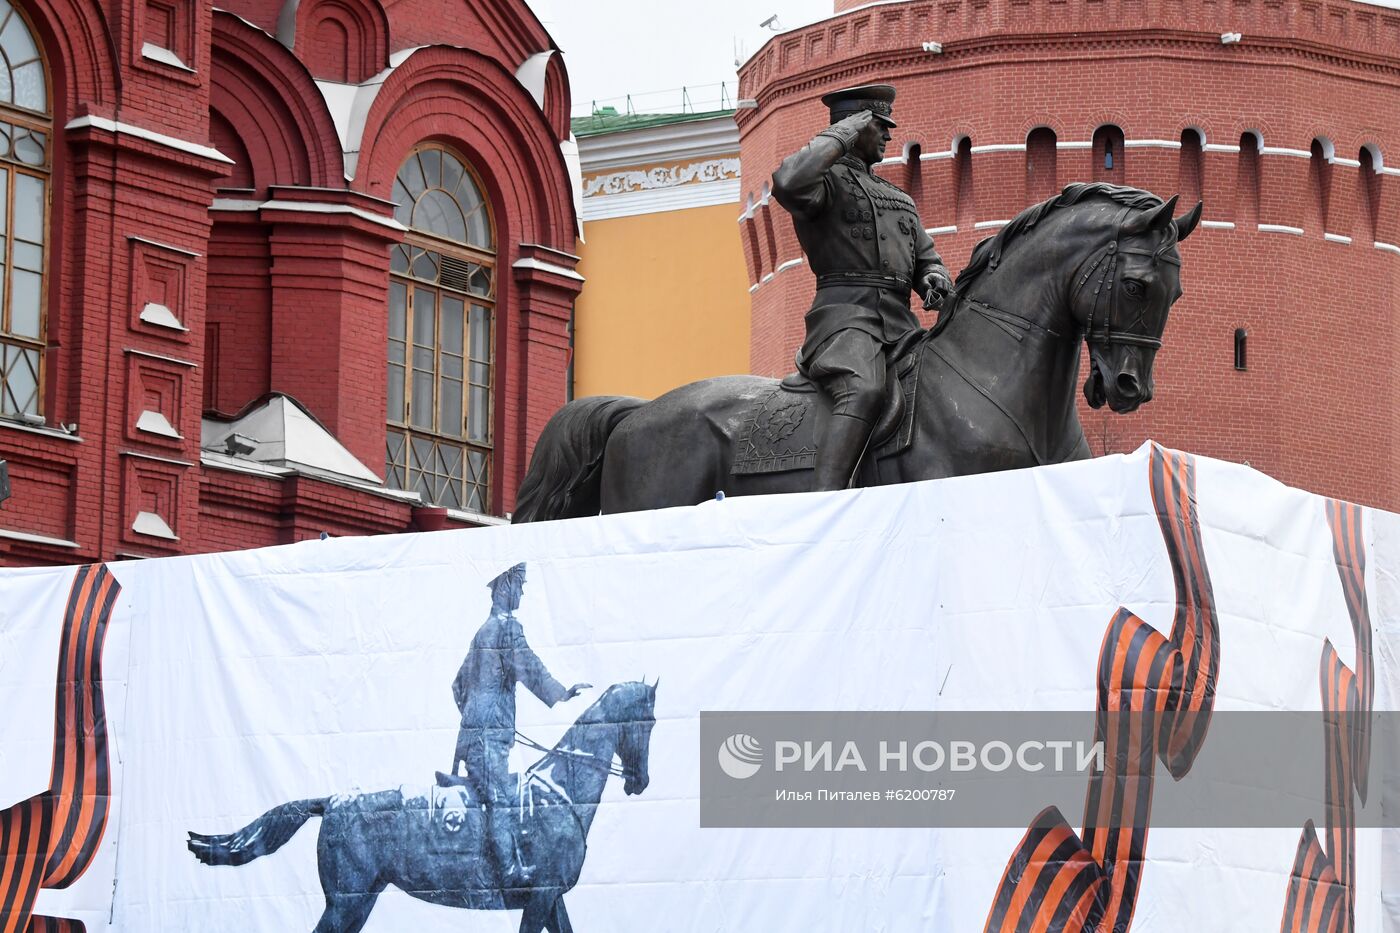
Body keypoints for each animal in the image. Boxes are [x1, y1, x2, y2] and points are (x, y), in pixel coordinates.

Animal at [189, 675, 658, 930]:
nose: (640, 782)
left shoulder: (551, 900)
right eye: (650, 720)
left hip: (361, 900)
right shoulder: (540, 900)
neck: (557, 792)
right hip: (346, 902)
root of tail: (332, 800)